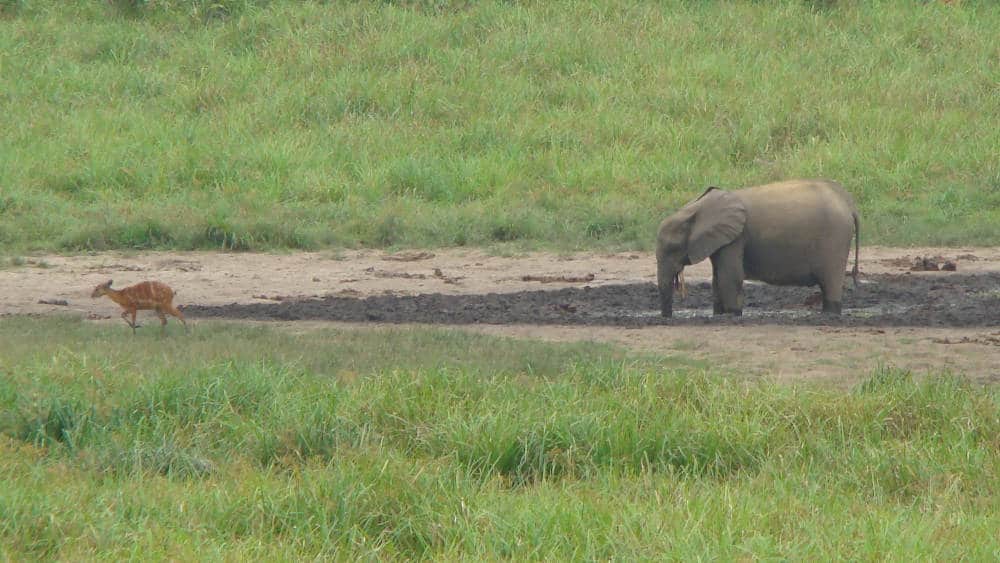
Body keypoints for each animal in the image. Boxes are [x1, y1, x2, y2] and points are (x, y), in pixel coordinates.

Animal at [656, 180, 860, 318]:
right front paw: (719, 315)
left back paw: (829, 315)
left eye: (672, 248)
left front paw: (732, 315)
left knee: (831, 281)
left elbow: (730, 276)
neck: (697, 207)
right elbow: (717, 278)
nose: (667, 318)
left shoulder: (736, 237)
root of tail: (849, 205)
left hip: (835, 239)